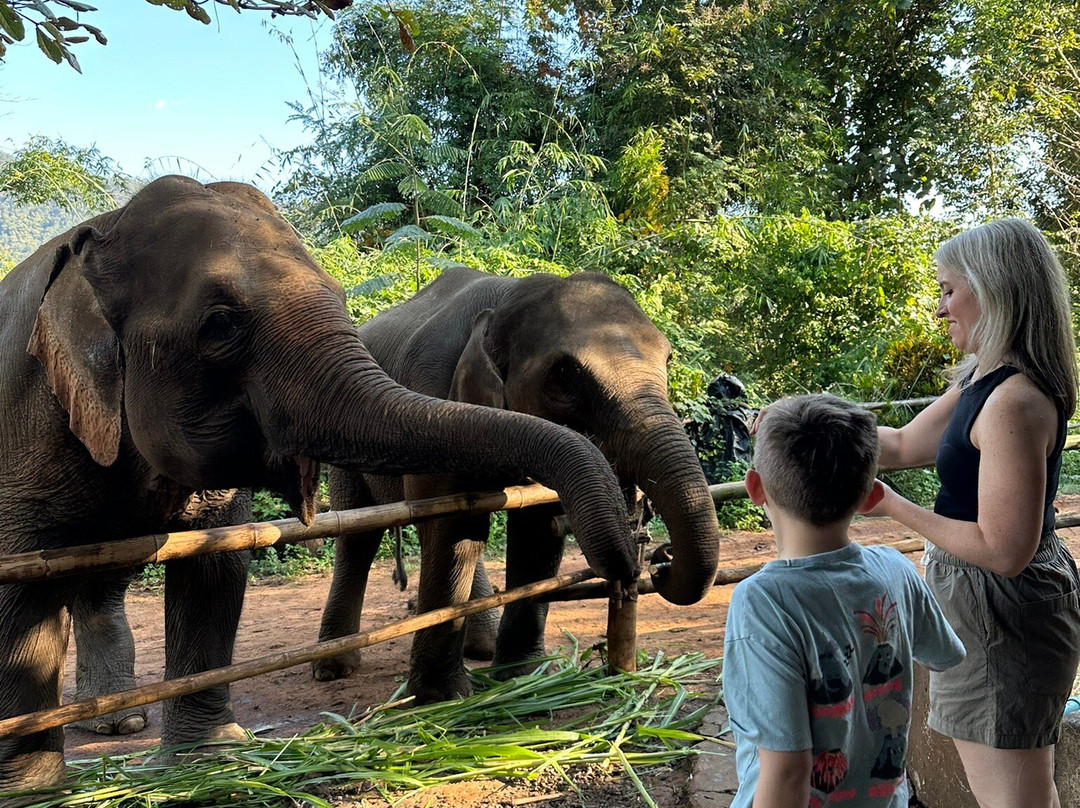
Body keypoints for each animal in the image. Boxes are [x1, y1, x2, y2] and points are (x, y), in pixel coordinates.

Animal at [0, 176, 639, 792]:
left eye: (339, 297)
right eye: (221, 324)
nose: (631, 563)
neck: (101, 229)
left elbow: (215, 565)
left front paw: (210, 758)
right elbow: (21, 584)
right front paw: (33, 789)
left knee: (103, 582)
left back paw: (119, 723)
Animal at [314, 266, 721, 703]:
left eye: (668, 359)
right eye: (562, 377)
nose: (657, 561)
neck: (505, 299)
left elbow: (537, 530)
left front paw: (521, 678)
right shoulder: (430, 396)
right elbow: (449, 525)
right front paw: (443, 697)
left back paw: (483, 648)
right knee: (359, 534)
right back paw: (332, 668)